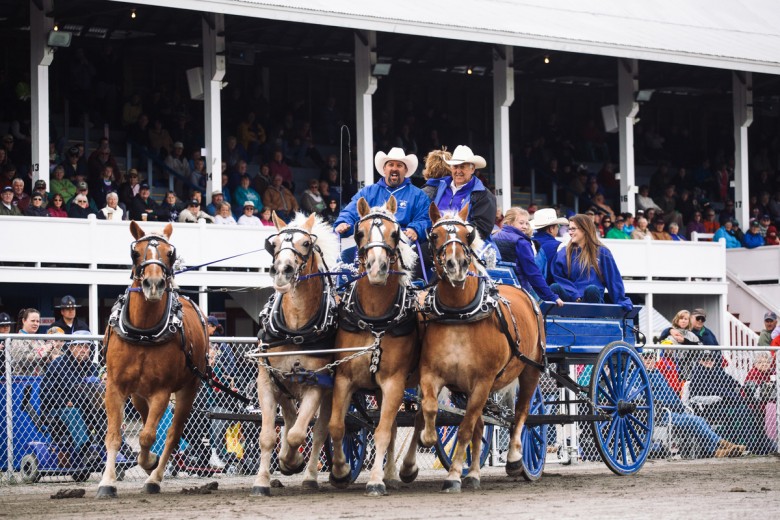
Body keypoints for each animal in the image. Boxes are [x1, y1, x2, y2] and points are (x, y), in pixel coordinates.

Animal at [97, 221, 210, 498]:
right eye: (135, 253)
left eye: (170, 253)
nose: (154, 284)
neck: (143, 331)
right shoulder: (115, 386)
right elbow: (114, 435)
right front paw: (107, 481)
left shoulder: (162, 390)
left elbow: (148, 435)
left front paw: (149, 464)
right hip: (138, 393)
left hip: (187, 388)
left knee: (171, 433)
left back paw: (154, 476)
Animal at [251, 211, 340, 496]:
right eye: (274, 244)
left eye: (306, 244)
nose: (282, 270)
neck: (295, 330)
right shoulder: (267, 381)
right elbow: (268, 436)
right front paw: (262, 481)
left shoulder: (317, 384)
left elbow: (298, 434)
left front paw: (293, 461)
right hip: (284, 384)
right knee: (289, 415)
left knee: (321, 430)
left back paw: (311, 475)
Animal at [328, 196, 420, 496]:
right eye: (358, 233)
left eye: (395, 234)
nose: (377, 267)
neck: (375, 319)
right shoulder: (344, 379)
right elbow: (337, 426)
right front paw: (340, 472)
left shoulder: (394, 382)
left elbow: (380, 430)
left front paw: (376, 480)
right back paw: (392, 472)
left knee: (424, 421)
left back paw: (407, 468)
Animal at [420, 204, 544, 492]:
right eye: (434, 235)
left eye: (468, 235)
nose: (456, 265)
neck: (460, 315)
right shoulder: (432, 373)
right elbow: (431, 407)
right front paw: (428, 436)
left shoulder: (483, 381)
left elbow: (464, 429)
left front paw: (453, 475)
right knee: (480, 425)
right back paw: (474, 473)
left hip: (530, 370)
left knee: (521, 412)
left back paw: (514, 459)